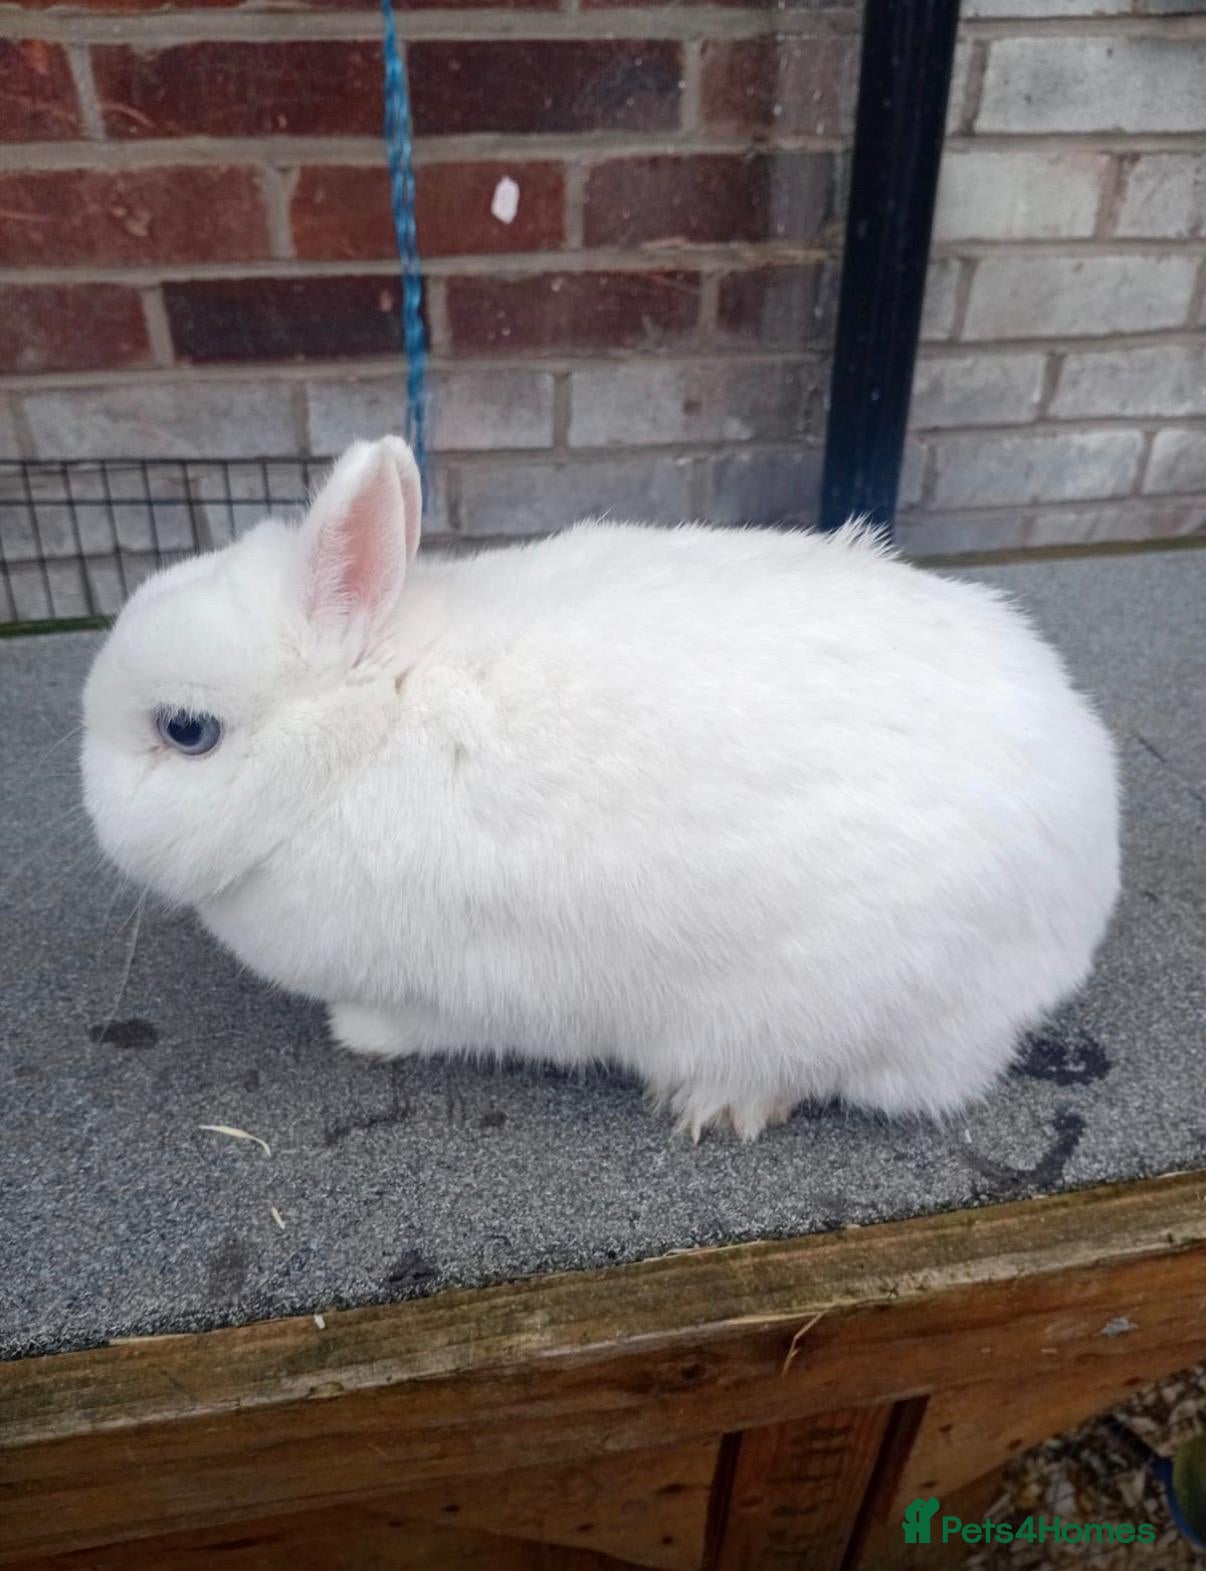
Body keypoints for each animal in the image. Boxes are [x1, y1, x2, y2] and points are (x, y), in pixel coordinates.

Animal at [82, 436, 1120, 1141]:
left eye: (185, 731)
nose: (88, 790)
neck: (369, 723)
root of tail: (1085, 885)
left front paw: (361, 1035)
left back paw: (719, 1100)